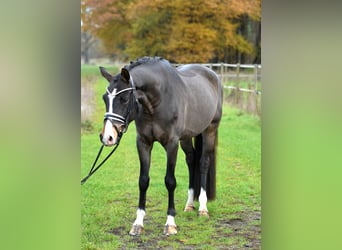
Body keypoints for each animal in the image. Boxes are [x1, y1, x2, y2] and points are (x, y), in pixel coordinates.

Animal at [97, 56, 223, 236]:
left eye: (124, 99)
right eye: (104, 99)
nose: (107, 137)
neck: (158, 100)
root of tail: (212, 74)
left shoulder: (171, 144)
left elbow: (170, 181)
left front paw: (170, 223)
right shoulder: (143, 143)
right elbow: (143, 181)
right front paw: (138, 223)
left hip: (210, 130)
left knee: (203, 162)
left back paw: (203, 208)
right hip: (186, 137)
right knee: (191, 160)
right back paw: (190, 204)